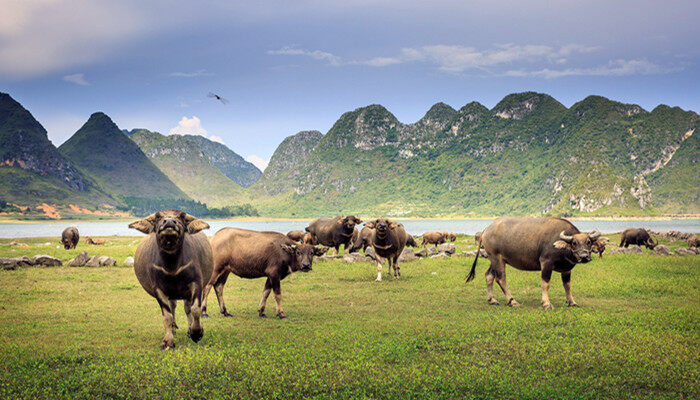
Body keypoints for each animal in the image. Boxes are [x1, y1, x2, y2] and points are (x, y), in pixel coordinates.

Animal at [128, 209, 211, 350]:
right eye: (157, 217)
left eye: (182, 216)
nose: (169, 222)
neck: (172, 265)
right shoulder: (158, 289)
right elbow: (167, 316)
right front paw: (168, 341)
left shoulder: (197, 283)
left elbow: (195, 309)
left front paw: (196, 333)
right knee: (173, 307)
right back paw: (173, 328)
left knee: (187, 308)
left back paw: (189, 329)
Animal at [464, 217, 600, 310]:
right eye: (574, 243)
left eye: (588, 242)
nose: (584, 257)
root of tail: (487, 229)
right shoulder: (546, 263)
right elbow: (545, 284)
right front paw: (546, 303)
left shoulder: (567, 269)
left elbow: (567, 286)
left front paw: (572, 302)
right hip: (496, 258)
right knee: (501, 278)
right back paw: (512, 301)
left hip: (494, 259)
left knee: (489, 275)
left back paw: (492, 299)